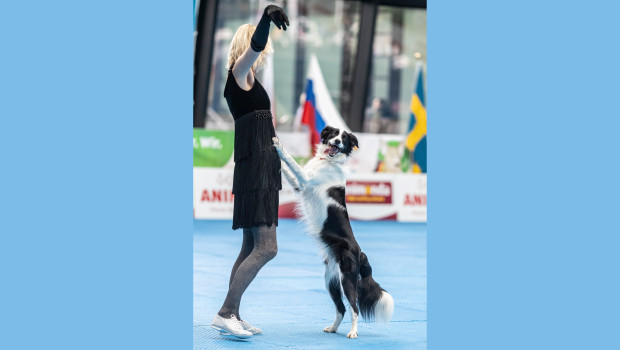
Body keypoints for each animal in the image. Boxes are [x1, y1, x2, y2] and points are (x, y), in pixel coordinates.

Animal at [272, 127, 392, 338]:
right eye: (334, 134)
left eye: (344, 139)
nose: (336, 142)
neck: (327, 161)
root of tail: (359, 252)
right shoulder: (298, 185)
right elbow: (287, 169)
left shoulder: (304, 178)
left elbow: (291, 161)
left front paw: (278, 145)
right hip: (331, 280)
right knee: (341, 309)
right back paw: (333, 328)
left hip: (347, 280)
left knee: (354, 308)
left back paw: (353, 333)